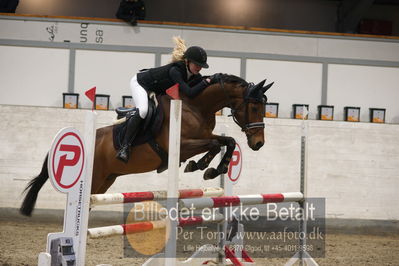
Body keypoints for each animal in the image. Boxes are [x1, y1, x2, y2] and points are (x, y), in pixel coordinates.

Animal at [20, 73, 274, 216]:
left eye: (264, 106)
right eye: (254, 107)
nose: (259, 143)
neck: (196, 106)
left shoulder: (203, 136)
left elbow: (226, 141)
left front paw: (211, 168)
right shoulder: (181, 146)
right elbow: (213, 143)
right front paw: (203, 166)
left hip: (106, 180)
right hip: (94, 177)